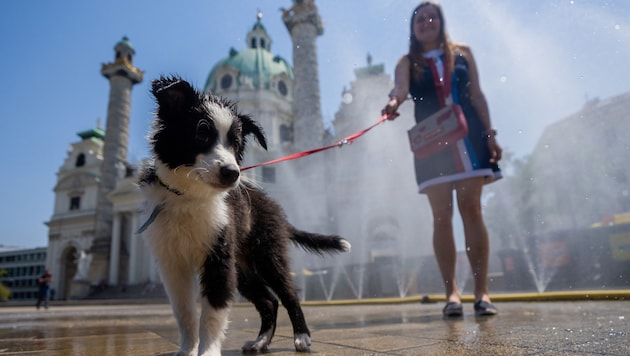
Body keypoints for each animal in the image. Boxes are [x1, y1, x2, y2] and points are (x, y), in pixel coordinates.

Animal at [138, 76, 350, 354]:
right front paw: (187, 350)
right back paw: (261, 341)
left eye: (236, 144)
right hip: (243, 269)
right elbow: (184, 312)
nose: (232, 173)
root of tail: (275, 208)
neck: (189, 195)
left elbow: (212, 313)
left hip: (267, 256)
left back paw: (302, 337)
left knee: (289, 294)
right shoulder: (173, 264)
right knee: (269, 301)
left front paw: (207, 351)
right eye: (201, 133)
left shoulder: (218, 259)